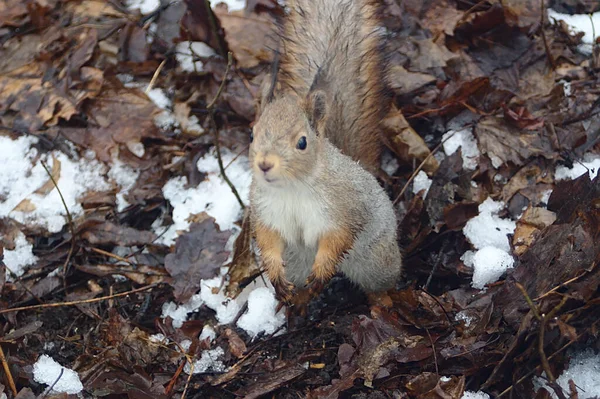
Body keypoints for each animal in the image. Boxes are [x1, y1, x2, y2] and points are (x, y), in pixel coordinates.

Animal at [248, 0, 404, 304]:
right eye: (252, 134)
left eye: (302, 142)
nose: (265, 164)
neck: (293, 188)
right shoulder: (266, 210)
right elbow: (268, 238)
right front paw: (274, 271)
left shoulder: (345, 208)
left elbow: (338, 238)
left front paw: (322, 269)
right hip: (296, 263)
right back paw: (296, 303)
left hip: (376, 261)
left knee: (381, 283)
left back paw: (383, 303)